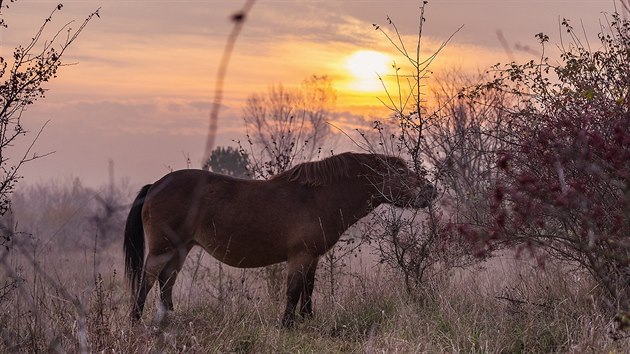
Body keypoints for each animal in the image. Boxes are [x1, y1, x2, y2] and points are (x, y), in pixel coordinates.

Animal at [124, 151, 440, 326]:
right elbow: (293, 291)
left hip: (181, 248)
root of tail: (157, 185)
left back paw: (170, 320)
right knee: (149, 279)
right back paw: (136, 321)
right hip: (163, 248)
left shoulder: (312, 257)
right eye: (401, 173)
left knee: (167, 281)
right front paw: (286, 326)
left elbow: (308, 290)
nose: (431, 191)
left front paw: (307, 321)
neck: (318, 197)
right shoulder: (299, 256)